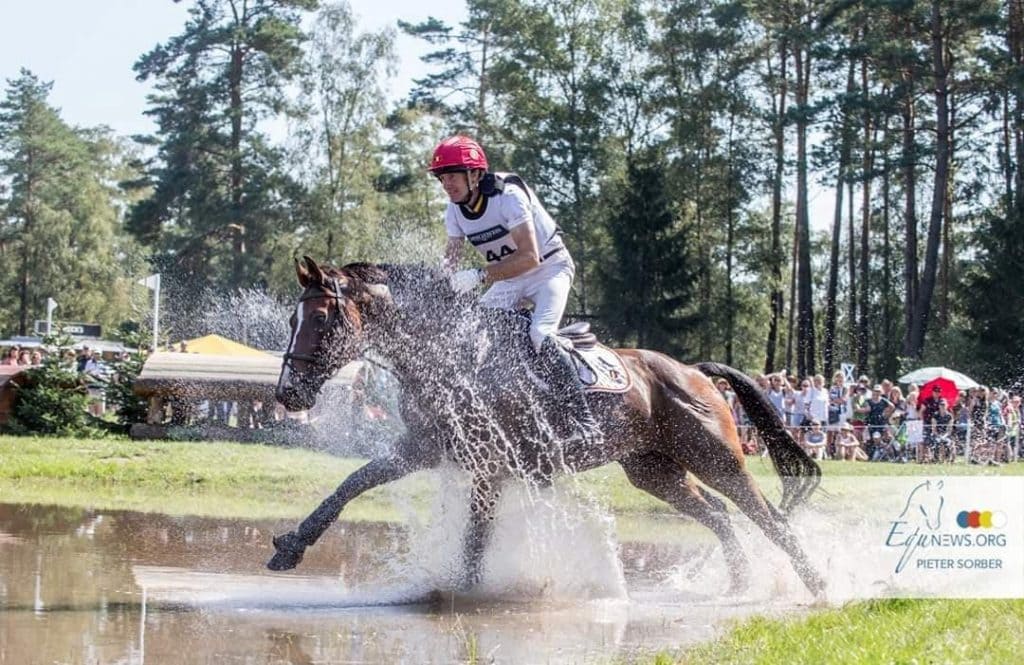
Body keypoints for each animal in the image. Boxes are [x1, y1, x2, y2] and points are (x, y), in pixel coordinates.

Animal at [266, 257, 823, 594]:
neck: (446, 357)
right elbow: (351, 485)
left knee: (768, 516)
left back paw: (815, 583)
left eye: (321, 320)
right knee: (718, 515)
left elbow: (475, 538)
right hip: (653, 470)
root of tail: (693, 371)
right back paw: (740, 583)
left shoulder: (490, 467)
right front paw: (293, 546)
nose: (288, 393)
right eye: (293, 320)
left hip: (714, 457)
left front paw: (467, 594)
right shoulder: (420, 450)